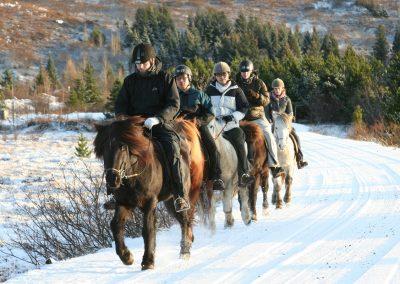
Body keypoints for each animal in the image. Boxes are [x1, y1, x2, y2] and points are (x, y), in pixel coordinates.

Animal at [94, 116, 205, 270]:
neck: (133, 175)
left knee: (185, 220)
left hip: (182, 196)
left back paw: (185, 251)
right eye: (104, 147)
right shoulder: (124, 202)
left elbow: (148, 229)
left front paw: (148, 261)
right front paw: (126, 256)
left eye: (122, 146)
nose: (112, 179)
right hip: (169, 201)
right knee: (183, 220)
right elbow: (115, 225)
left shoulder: (149, 203)